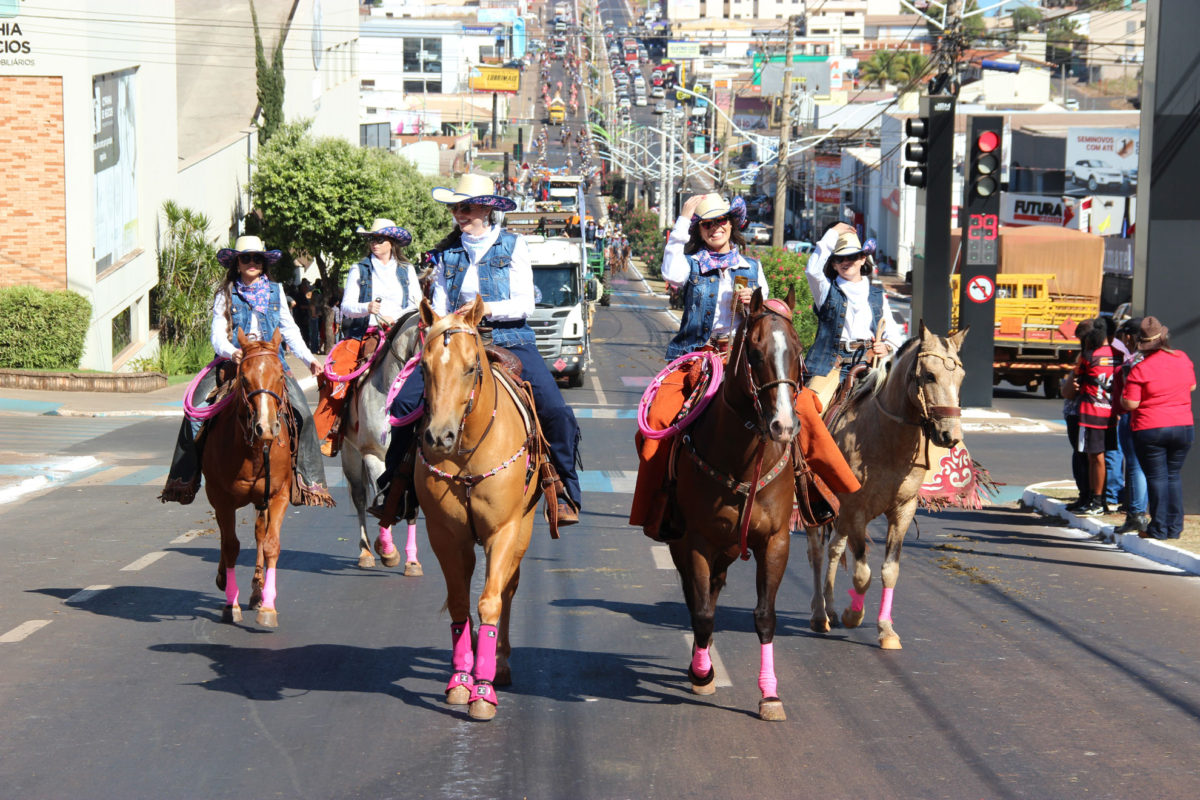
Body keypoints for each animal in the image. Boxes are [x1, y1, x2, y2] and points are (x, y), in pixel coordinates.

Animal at [202, 328, 294, 628]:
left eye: (280, 375)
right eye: (244, 377)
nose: (265, 428)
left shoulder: (278, 495)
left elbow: (271, 545)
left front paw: (268, 607)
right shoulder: (222, 499)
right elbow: (230, 545)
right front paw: (231, 604)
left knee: (260, 534)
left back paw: (257, 591)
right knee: (227, 536)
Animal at [340, 309, 424, 575]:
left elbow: (410, 507)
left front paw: (411, 561)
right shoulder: (373, 455)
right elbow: (383, 496)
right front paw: (387, 550)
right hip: (350, 455)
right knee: (359, 498)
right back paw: (366, 550)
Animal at [415, 297, 542, 724]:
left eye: (471, 367)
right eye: (423, 367)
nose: (439, 437)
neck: (467, 449)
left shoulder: (502, 531)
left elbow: (490, 600)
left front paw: (483, 691)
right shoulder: (444, 536)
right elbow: (458, 602)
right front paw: (460, 680)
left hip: (522, 531)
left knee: (508, 589)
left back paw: (498, 665)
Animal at [662, 289, 801, 724]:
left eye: (797, 350)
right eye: (754, 353)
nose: (784, 426)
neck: (741, 458)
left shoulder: (775, 542)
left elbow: (765, 616)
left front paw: (770, 696)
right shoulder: (697, 542)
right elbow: (703, 613)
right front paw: (703, 674)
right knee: (697, 599)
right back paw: (699, 665)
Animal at [806, 321, 964, 652]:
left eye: (960, 376)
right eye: (929, 375)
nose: (950, 434)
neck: (885, 437)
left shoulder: (902, 510)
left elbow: (889, 571)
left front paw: (886, 630)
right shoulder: (856, 509)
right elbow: (862, 573)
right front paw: (854, 614)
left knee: (834, 549)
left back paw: (829, 609)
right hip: (813, 503)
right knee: (816, 552)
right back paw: (819, 614)